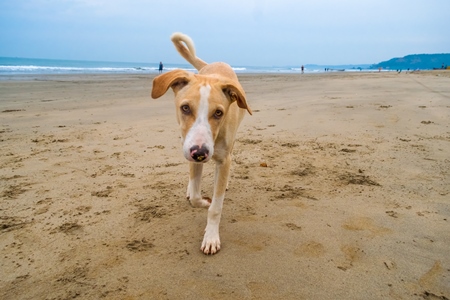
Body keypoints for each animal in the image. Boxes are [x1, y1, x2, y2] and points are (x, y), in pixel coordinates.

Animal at [150, 32, 250, 253]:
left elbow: (216, 207)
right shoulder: (191, 151)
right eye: (185, 108)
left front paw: (211, 236)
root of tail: (215, 64)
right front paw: (203, 200)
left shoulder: (223, 159)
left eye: (219, 113)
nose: (200, 153)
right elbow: (197, 197)